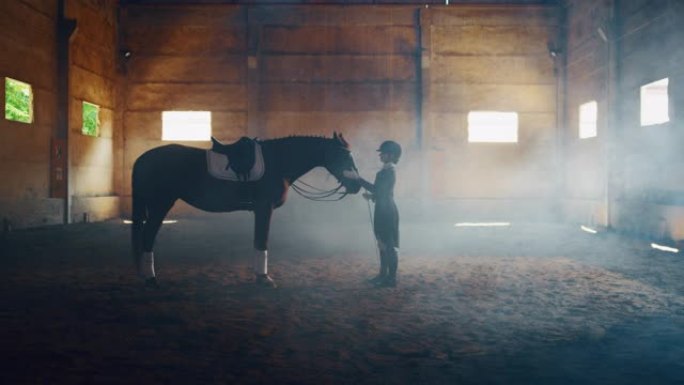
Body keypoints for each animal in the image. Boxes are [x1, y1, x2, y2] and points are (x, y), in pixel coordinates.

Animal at [130, 132, 360, 284]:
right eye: (342, 155)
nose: (357, 185)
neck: (278, 162)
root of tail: (143, 158)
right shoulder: (264, 208)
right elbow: (262, 240)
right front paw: (263, 278)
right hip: (160, 204)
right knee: (148, 236)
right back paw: (151, 278)